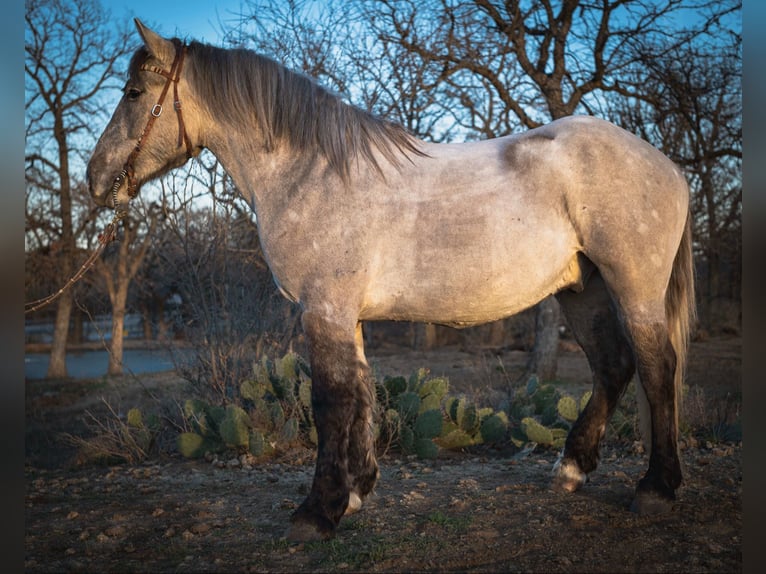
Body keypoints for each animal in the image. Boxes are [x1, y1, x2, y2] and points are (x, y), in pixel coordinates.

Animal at [87, 19, 696, 541]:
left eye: (135, 93)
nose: (96, 180)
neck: (311, 173)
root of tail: (667, 165)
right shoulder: (344, 316)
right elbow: (360, 393)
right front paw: (355, 493)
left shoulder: (324, 310)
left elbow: (330, 402)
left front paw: (317, 513)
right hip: (581, 290)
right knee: (613, 366)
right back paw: (572, 469)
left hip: (632, 287)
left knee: (656, 368)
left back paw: (657, 488)